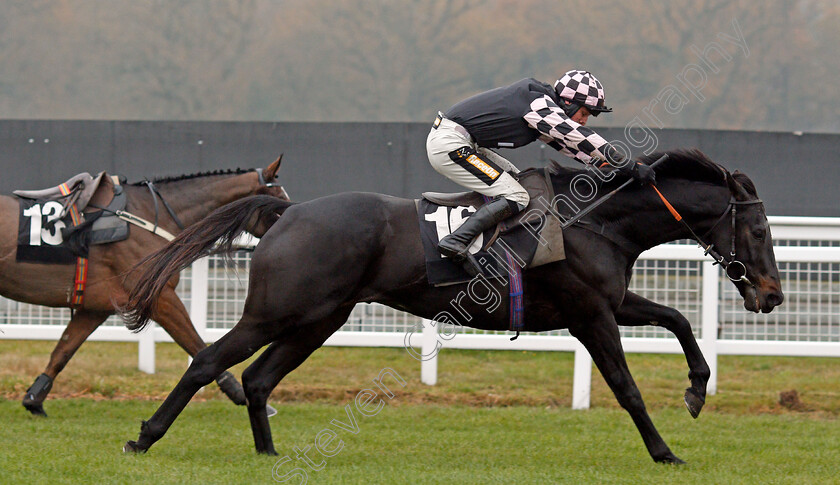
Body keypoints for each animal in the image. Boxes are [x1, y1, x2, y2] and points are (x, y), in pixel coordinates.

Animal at [0, 157, 288, 414]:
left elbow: (63, 350)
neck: (149, 216)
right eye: (279, 208)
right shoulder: (161, 297)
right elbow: (196, 343)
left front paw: (33, 399)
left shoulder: (96, 306)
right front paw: (241, 394)